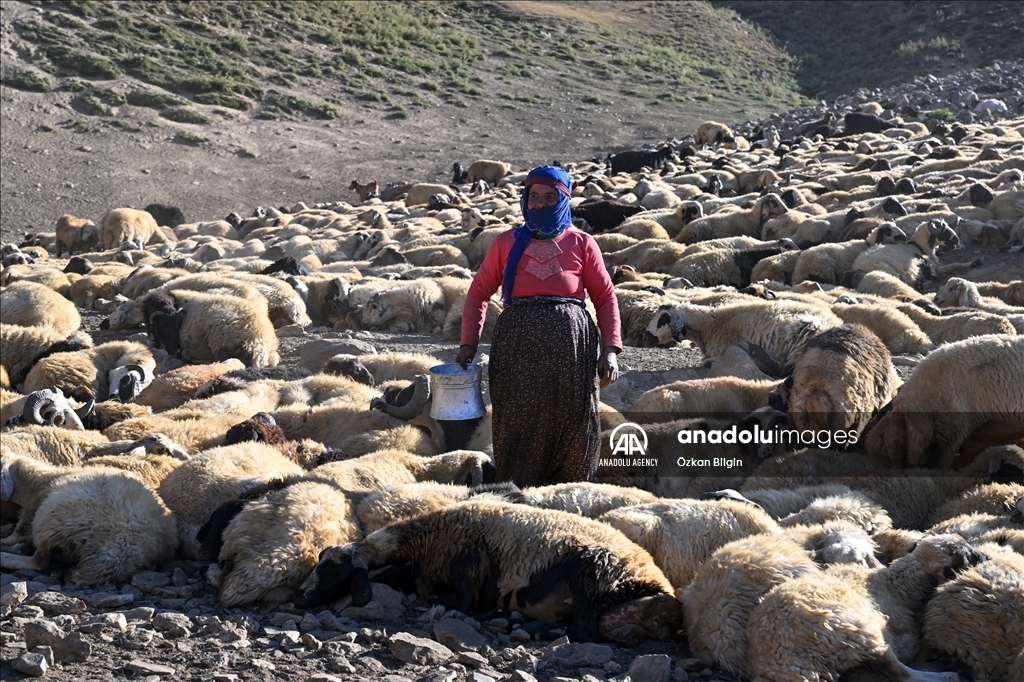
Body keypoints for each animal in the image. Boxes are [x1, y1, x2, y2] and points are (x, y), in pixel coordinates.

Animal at [296, 497, 679, 647]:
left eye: (337, 573)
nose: (302, 596)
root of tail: (660, 590)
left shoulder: (468, 568)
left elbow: (460, 603)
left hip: (591, 567)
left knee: (583, 630)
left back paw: (525, 626)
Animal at [749, 532, 987, 679]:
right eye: (967, 552)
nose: (985, 556)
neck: (897, 587)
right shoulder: (904, 641)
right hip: (855, 628)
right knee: (902, 673)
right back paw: (950, 674)